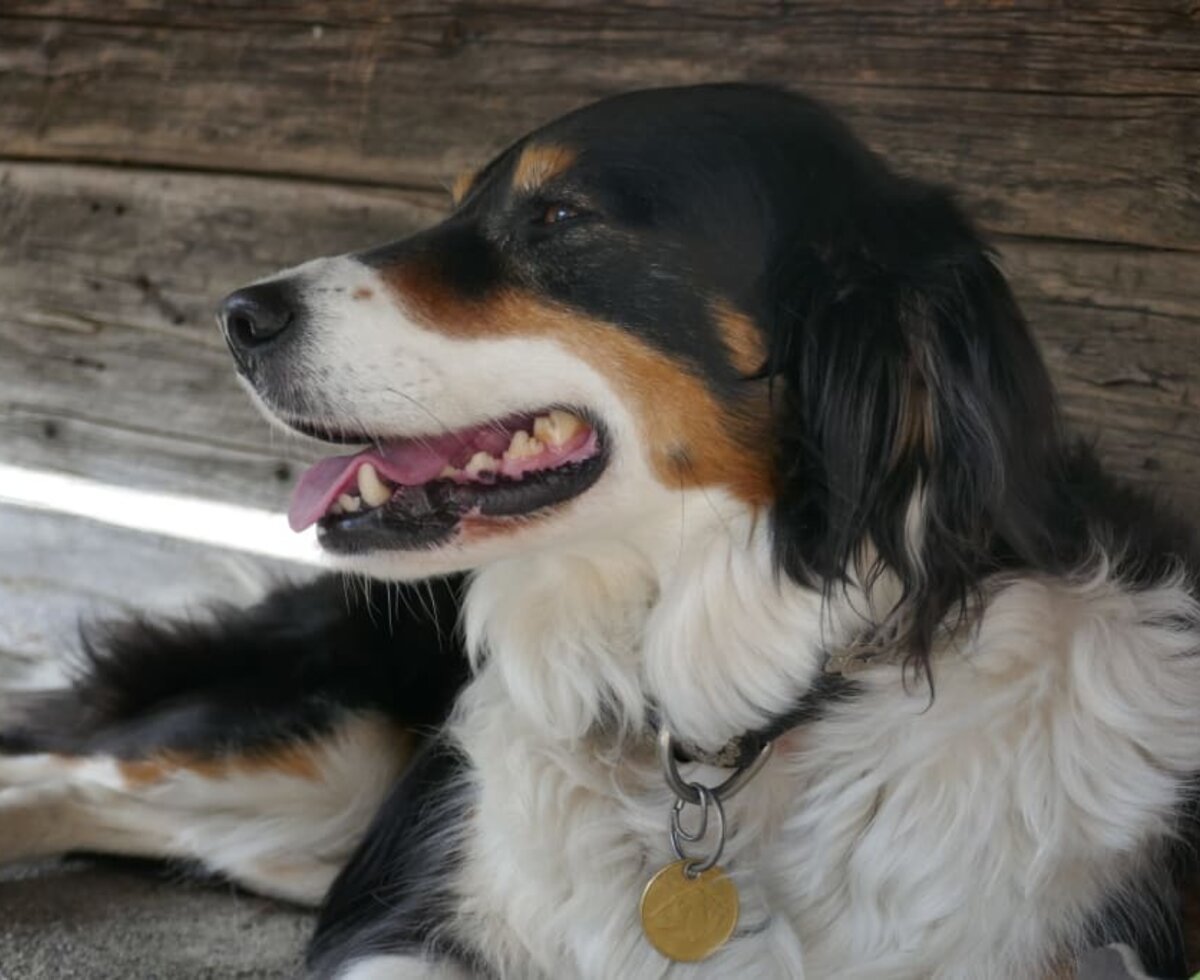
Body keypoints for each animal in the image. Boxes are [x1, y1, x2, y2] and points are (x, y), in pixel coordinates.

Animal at [2, 83, 1200, 978]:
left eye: (563, 218)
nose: (236, 316)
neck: (713, 734)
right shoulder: (395, 911)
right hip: (327, 746)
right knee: (59, 768)